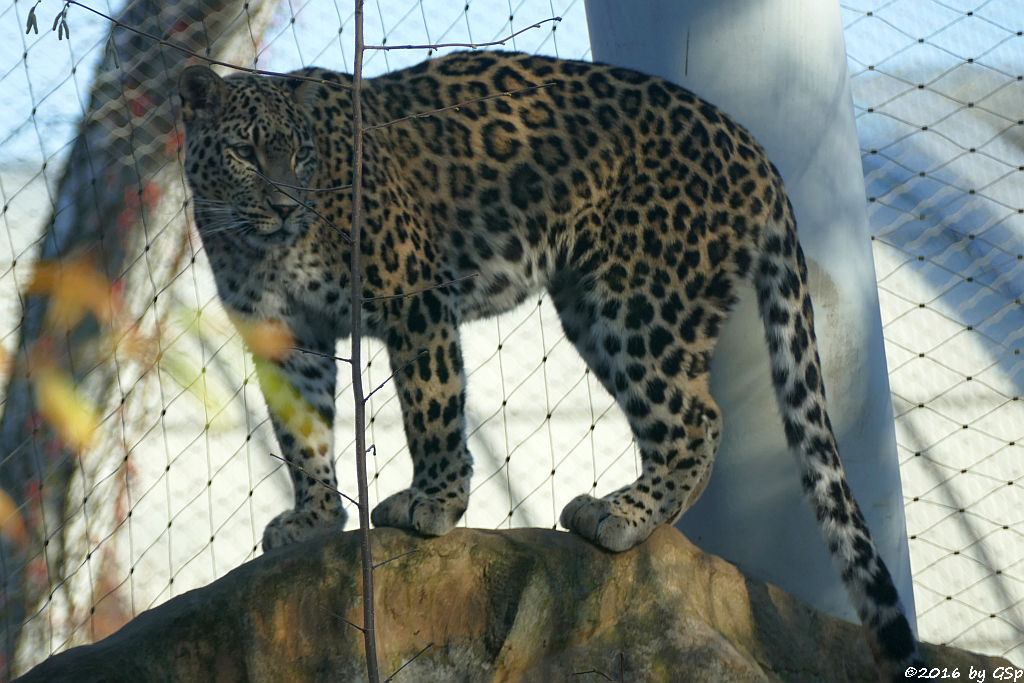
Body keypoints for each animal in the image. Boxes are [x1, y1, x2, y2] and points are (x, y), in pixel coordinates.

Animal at [180, 50, 925, 675]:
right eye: (246, 152)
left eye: (300, 154)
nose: (285, 206)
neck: (258, 244)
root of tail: (746, 139)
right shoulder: (285, 336)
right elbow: (301, 433)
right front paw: (314, 516)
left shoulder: (415, 296)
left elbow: (431, 403)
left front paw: (434, 503)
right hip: (596, 304)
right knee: (695, 418)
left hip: (640, 298)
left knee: (696, 418)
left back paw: (624, 515)